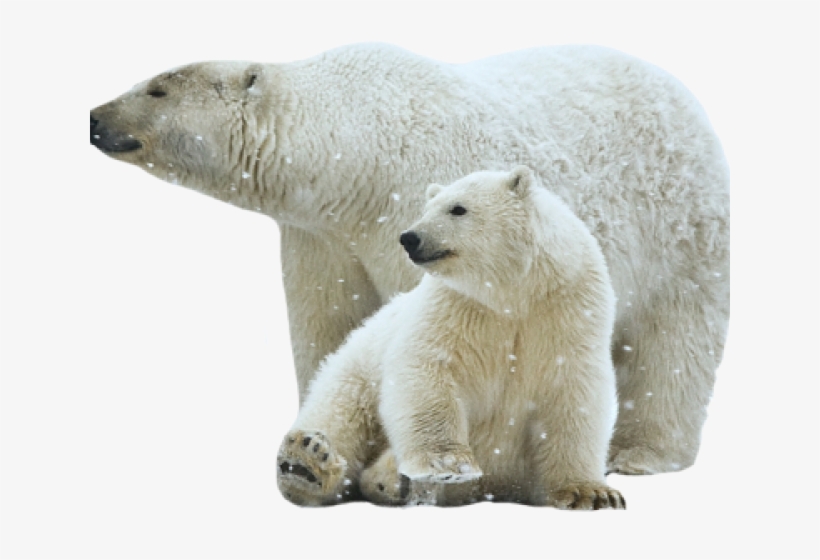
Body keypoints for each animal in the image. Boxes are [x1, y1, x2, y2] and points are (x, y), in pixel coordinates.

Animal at [276, 166, 625, 509]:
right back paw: (307, 462)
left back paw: (387, 478)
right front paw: (447, 464)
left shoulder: (568, 310)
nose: (409, 237)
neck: (514, 293)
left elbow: (574, 394)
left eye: (458, 208)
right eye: (426, 208)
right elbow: (429, 367)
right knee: (341, 411)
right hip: (357, 369)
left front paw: (592, 493)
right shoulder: (456, 306)